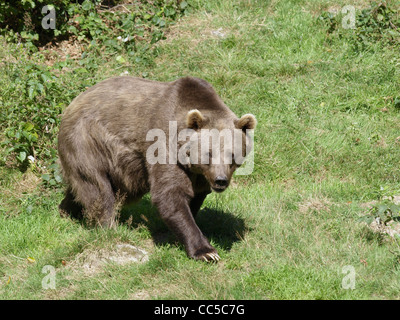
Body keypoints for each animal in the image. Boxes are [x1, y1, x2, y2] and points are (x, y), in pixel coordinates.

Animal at [57, 75, 255, 262]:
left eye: (232, 155)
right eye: (209, 154)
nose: (220, 180)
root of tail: (72, 103)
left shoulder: (199, 176)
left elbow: (194, 197)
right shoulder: (164, 145)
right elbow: (170, 194)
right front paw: (206, 252)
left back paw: (67, 211)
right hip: (87, 142)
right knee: (97, 188)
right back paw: (108, 227)